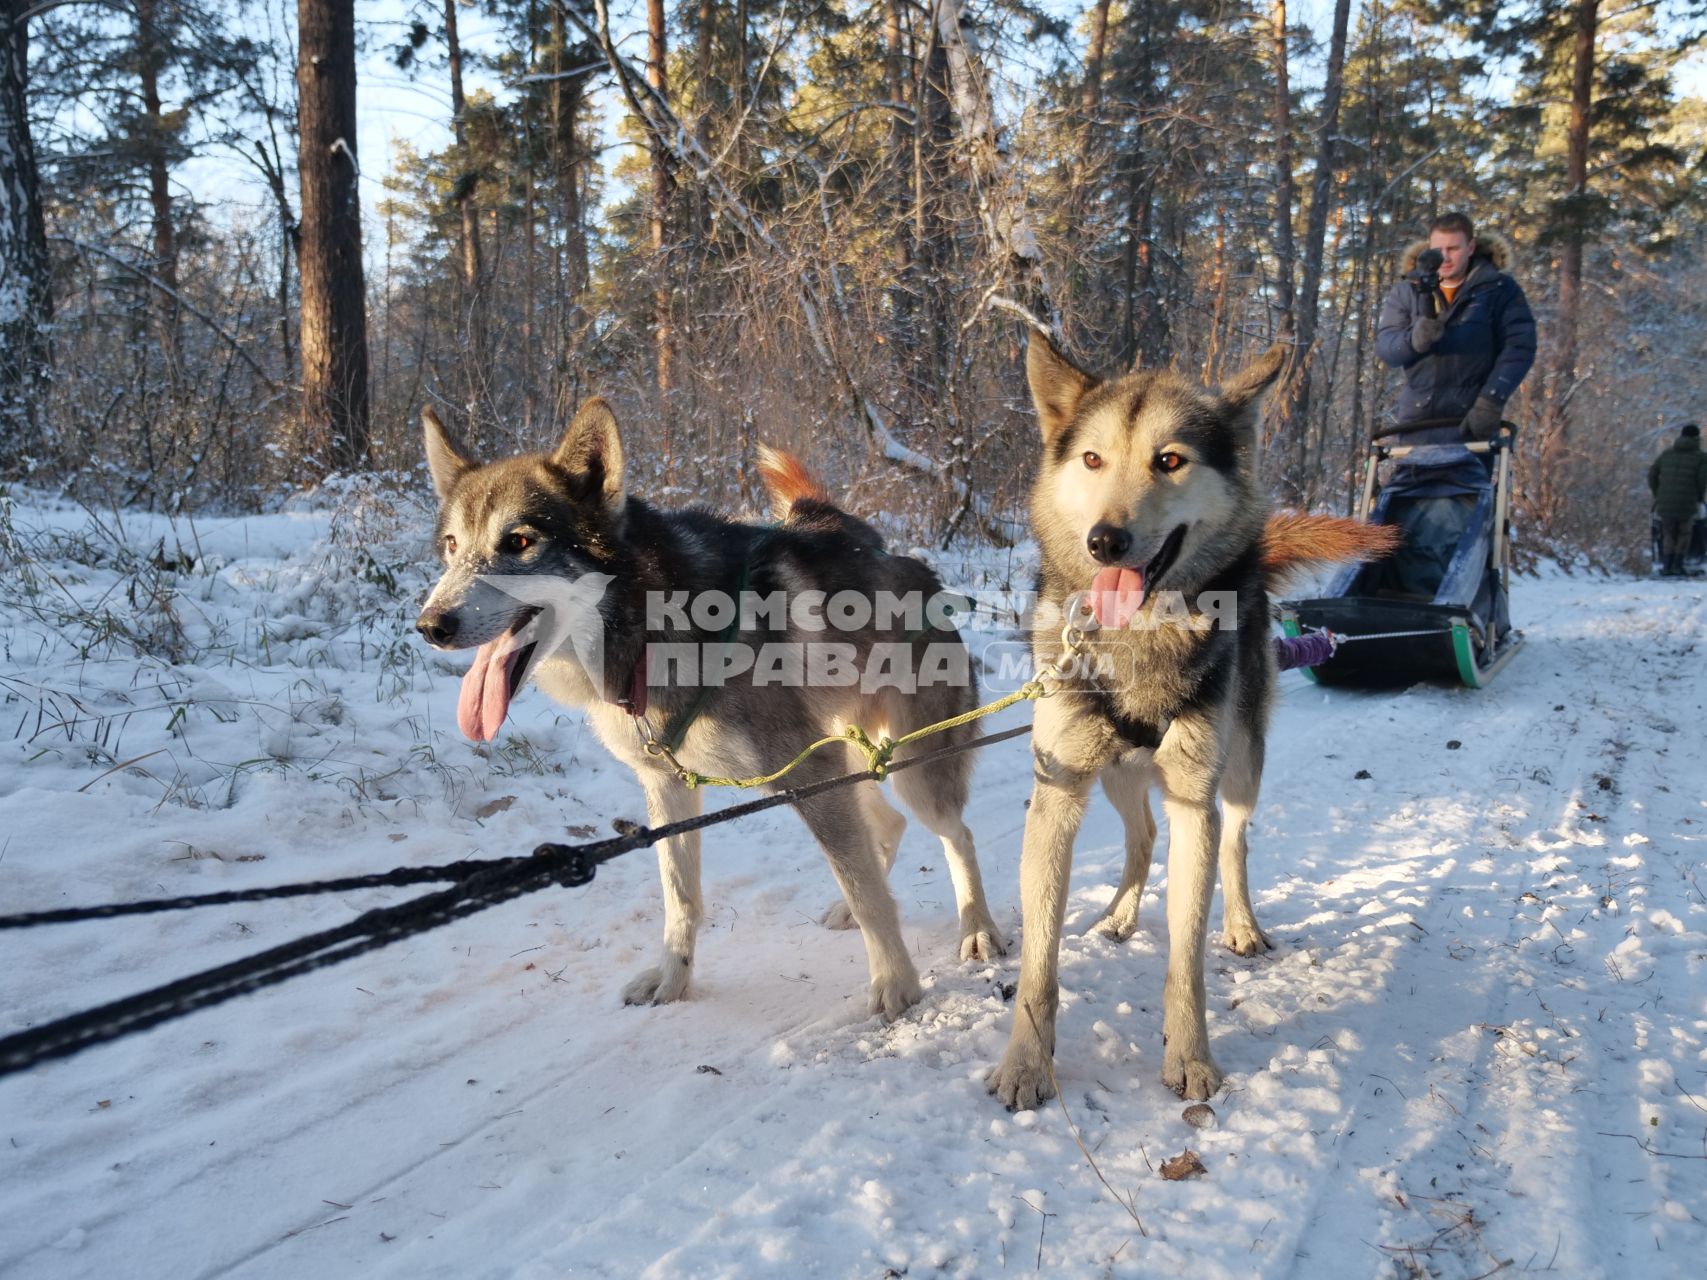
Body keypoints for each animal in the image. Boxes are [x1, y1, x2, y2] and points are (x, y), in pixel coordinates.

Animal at [413, 401, 996, 1024]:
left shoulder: (807, 776)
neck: (649, 629)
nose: (430, 625)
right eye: (452, 545)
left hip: (908, 767)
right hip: (842, 757)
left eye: (519, 541)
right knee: (887, 825)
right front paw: (673, 979)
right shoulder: (670, 788)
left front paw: (896, 984)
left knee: (956, 833)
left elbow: (864, 889)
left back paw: (978, 929)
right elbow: (681, 900)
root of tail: (904, 561)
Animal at [996, 336, 1392, 1105]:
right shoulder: (1057, 794)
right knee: (1141, 836)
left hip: (1235, 770)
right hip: (1117, 773)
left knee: (1234, 842)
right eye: (1092, 459)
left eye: (1170, 460)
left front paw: (1190, 1056)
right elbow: (1038, 964)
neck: (1139, 642)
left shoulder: (1191, 799)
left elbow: (1186, 958)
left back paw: (1241, 925)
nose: (1105, 540)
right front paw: (1026, 1064)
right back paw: (1120, 914)